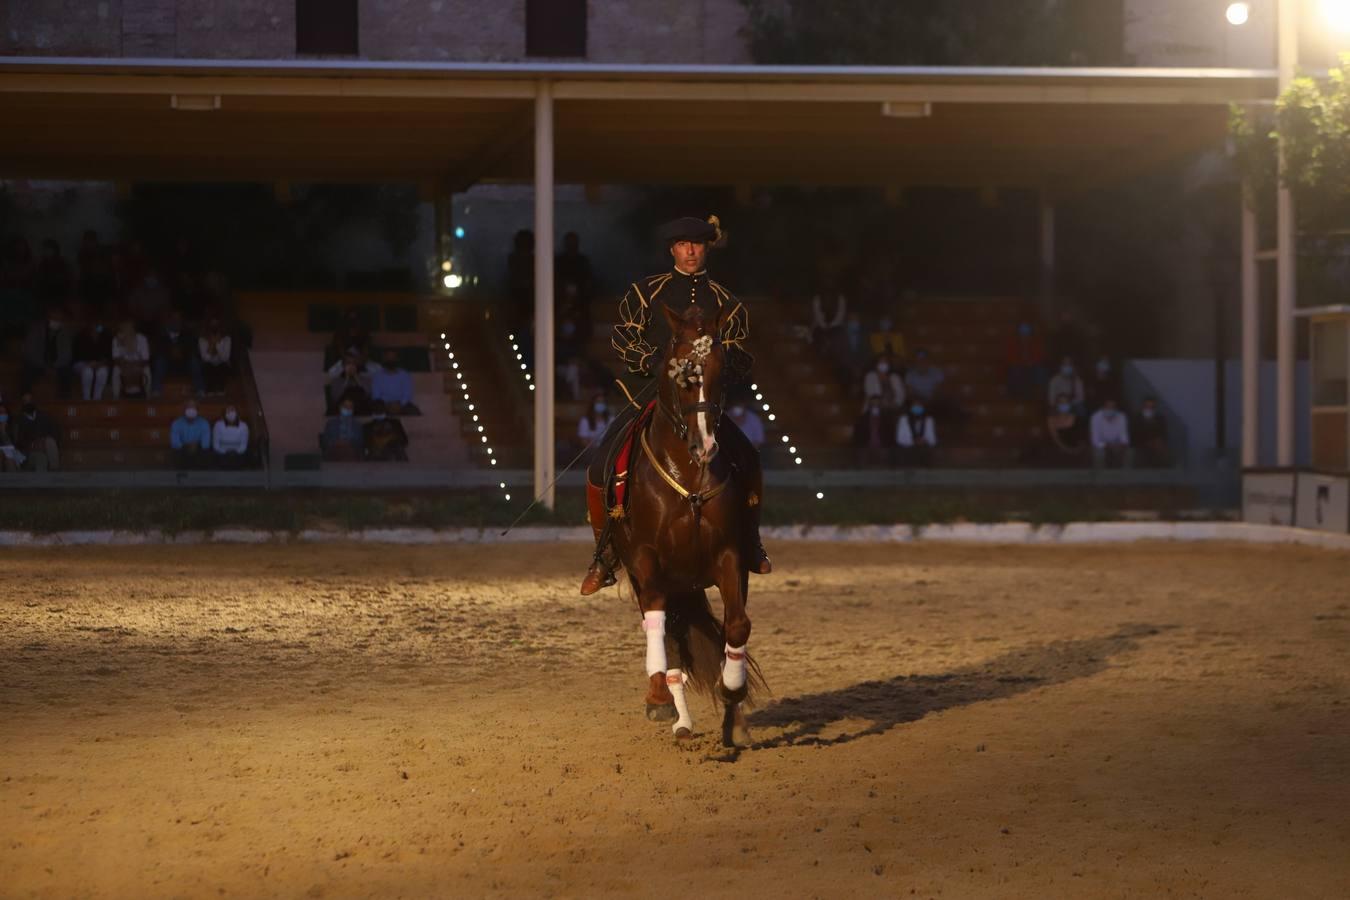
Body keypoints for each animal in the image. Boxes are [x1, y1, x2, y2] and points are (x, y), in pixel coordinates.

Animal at [596, 302, 766, 744]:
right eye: (683, 374)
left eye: (722, 370)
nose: (704, 445)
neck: (689, 480)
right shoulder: (645, 562)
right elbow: (659, 630)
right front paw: (658, 698)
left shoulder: (730, 556)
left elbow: (737, 626)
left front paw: (732, 690)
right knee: (667, 637)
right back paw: (676, 714)